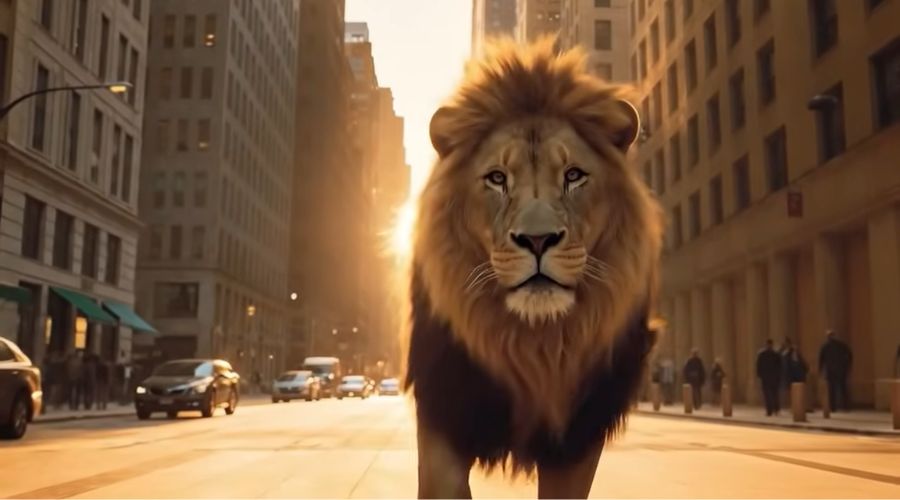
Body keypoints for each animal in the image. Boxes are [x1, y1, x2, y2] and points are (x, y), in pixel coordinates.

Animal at [404, 37, 664, 499]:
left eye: (574, 175)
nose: (538, 240)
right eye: (496, 178)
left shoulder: (577, 439)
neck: (534, 346)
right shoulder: (443, 410)